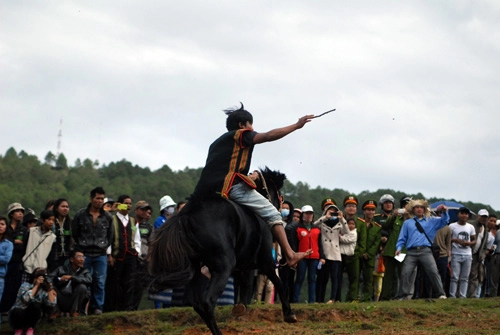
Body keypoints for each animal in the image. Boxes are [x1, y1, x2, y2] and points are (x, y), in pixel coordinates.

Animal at [148, 168, 296, 335]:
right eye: (279, 193)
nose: (281, 206)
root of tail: (187, 214)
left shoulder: (242, 264)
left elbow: (246, 282)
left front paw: (241, 306)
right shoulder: (265, 261)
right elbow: (278, 282)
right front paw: (289, 313)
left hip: (197, 268)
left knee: (197, 303)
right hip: (223, 265)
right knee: (207, 302)